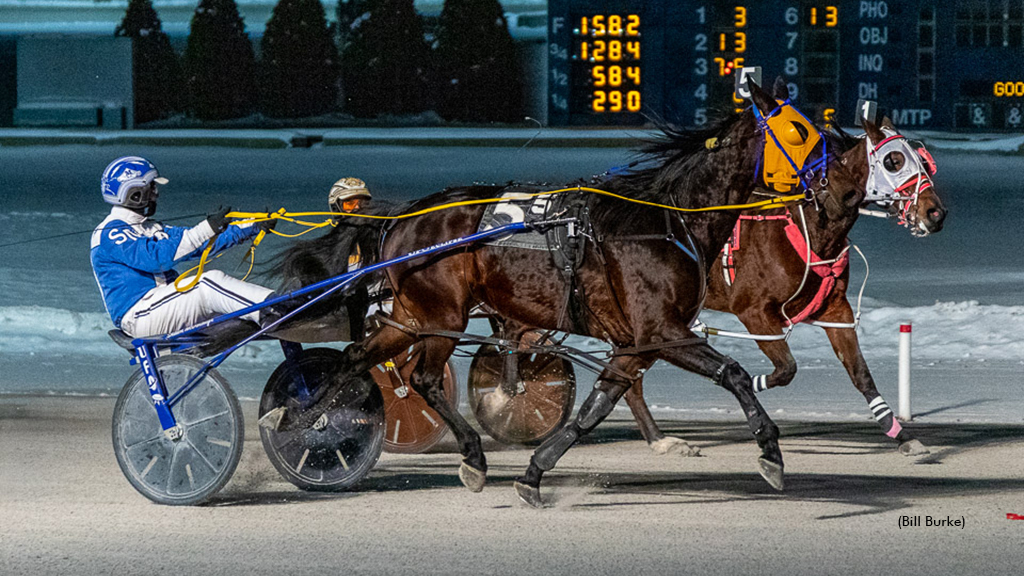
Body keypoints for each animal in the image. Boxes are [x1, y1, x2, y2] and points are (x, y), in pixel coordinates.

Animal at [270, 79, 864, 502]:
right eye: (798, 133)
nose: (838, 190)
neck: (668, 221)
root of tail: (402, 215)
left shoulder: (636, 343)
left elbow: (595, 408)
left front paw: (534, 475)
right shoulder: (665, 331)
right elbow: (735, 374)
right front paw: (771, 456)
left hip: (415, 316)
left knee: (365, 361)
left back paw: (312, 420)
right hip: (442, 314)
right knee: (414, 376)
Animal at [618, 113, 946, 457]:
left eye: (924, 161)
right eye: (894, 161)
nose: (936, 212)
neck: (809, 225)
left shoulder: (835, 309)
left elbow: (861, 375)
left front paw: (902, 435)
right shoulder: (755, 313)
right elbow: (786, 369)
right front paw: (753, 384)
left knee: (630, 372)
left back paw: (659, 439)